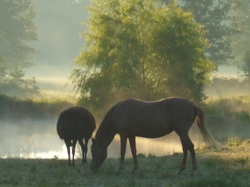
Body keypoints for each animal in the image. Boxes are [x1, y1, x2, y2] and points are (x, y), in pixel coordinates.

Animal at [91, 98, 220, 174]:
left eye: (93, 151)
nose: (93, 168)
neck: (120, 111)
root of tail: (191, 105)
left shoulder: (123, 135)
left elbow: (122, 151)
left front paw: (120, 169)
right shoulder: (131, 135)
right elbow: (133, 151)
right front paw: (135, 168)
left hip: (182, 133)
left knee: (191, 147)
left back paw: (192, 170)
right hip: (182, 133)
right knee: (185, 149)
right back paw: (181, 169)